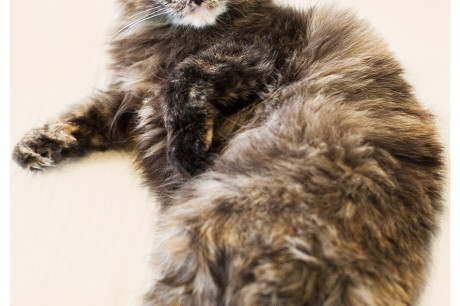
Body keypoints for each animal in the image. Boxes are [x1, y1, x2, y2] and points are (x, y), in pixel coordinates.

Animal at [13, 0, 446, 304]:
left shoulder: (255, 53)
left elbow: (182, 79)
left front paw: (188, 153)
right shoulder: (129, 101)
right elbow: (85, 115)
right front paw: (34, 146)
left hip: (199, 236)